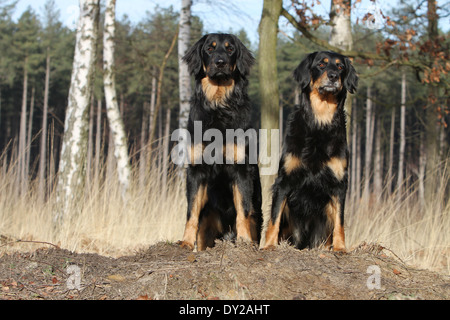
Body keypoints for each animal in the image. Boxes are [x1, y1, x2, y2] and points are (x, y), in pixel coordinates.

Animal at [178, 33, 264, 251]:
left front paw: (243, 241)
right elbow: (191, 211)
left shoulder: (240, 167)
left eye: (230, 49)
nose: (220, 62)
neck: (219, 105)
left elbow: (243, 209)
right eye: (210, 48)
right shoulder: (196, 168)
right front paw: (185, 241)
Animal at [262, 51, 356, 251]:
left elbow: (340, 221)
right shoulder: (284, 180)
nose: (333, 76)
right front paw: (268, 246)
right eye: (321, 64)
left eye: (340, 67)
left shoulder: (339, 183)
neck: (320, 122)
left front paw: (340, 248)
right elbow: (274, 217)